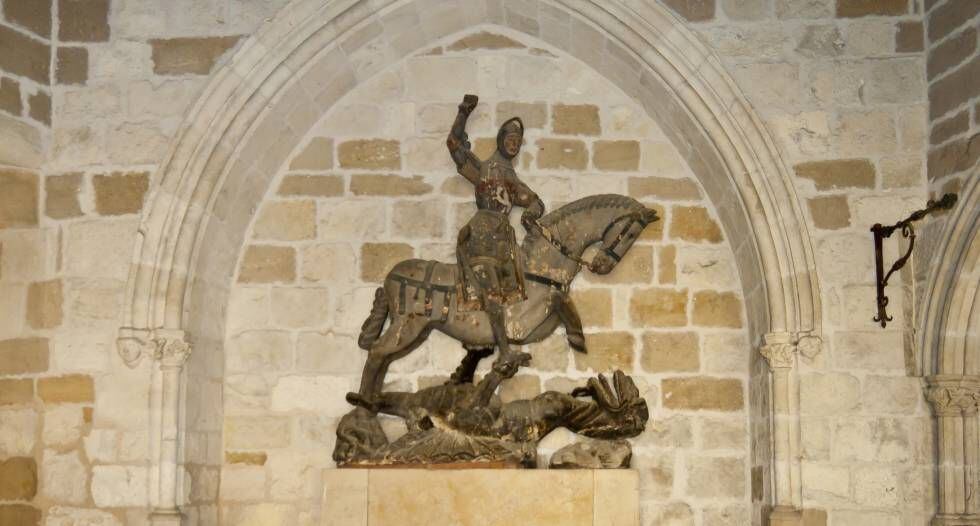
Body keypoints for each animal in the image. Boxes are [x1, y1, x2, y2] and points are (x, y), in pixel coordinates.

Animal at [344, 195, 660, 412]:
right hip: (407, 326)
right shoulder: (521, 323)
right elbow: (560, 302)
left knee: (382, 356)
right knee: (377, 352)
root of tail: (390, 277)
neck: (538, 268)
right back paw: (364, 403)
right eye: (631, 233)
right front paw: (576, 338)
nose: (602, 267)